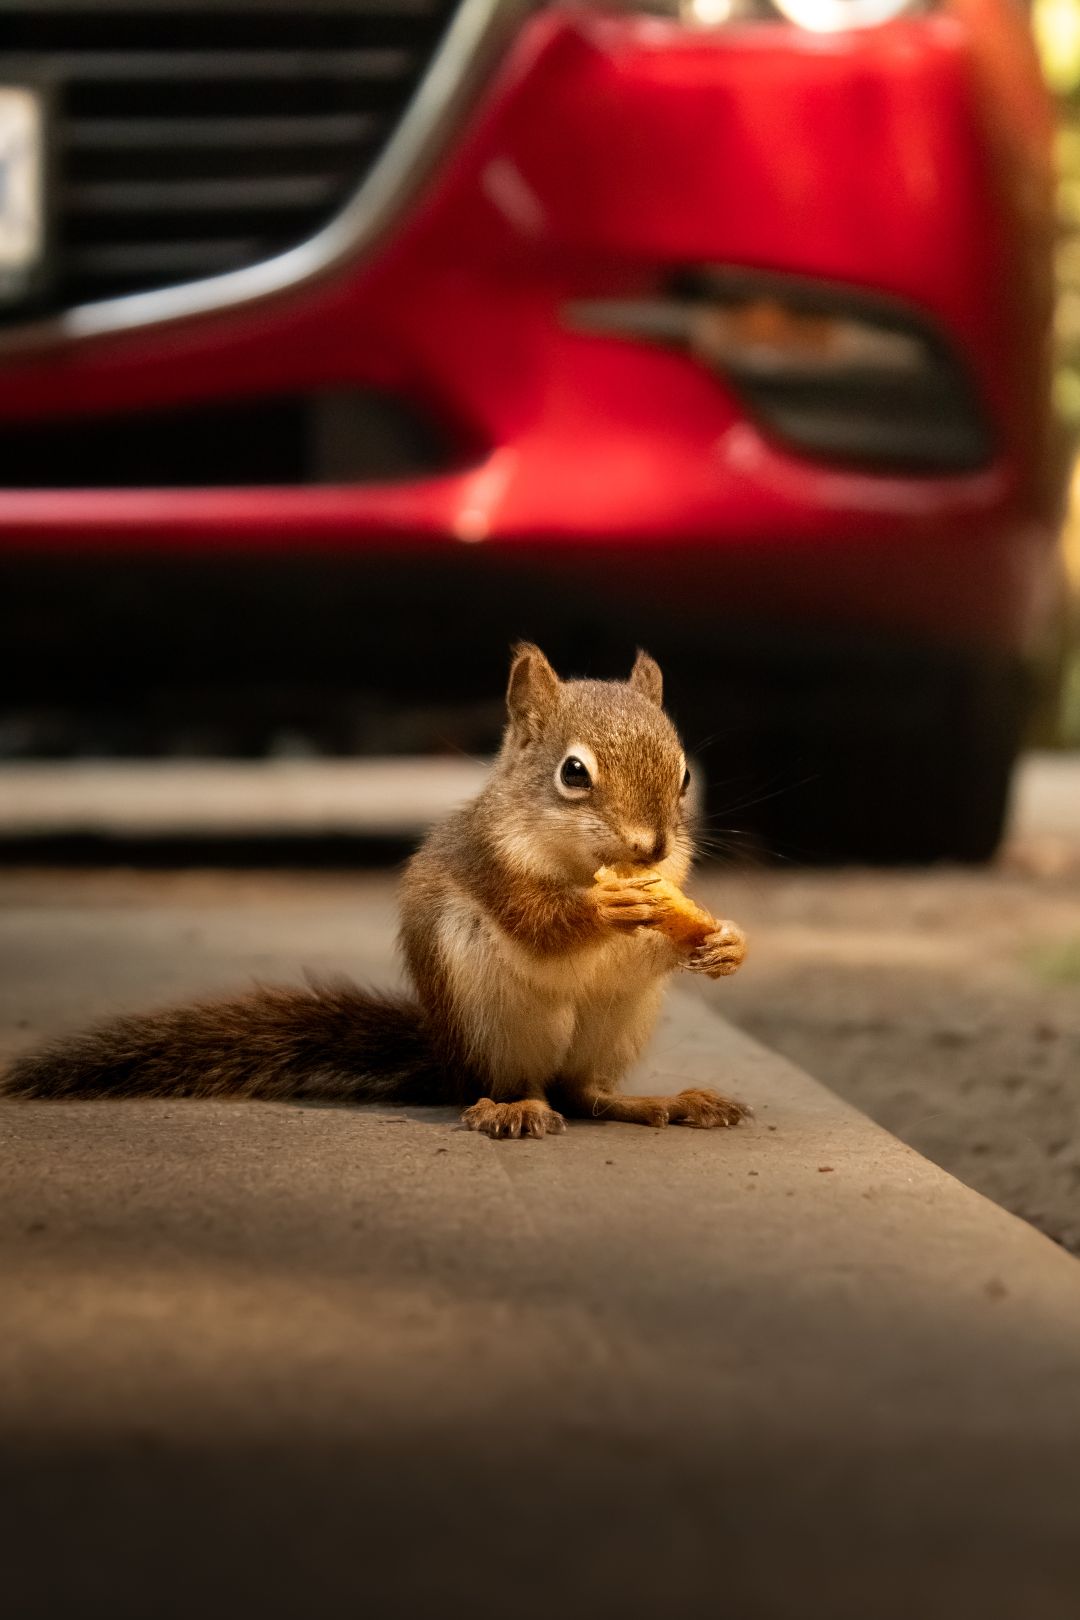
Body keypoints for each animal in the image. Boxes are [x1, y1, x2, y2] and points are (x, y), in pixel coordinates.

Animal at [2, 644, 749, 1139]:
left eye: (685, 775)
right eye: (573, 773)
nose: (651, 847)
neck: (578, 862)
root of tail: (449, 1059)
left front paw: (725, 942)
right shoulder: (487, 865)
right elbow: (537, 922)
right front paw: (603, 907)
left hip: (619, 1023)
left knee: (586, 1093)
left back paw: (658, 1103)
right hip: (495, 1023)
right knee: (526, 1087)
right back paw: (512, 1109)